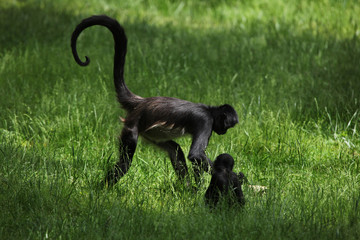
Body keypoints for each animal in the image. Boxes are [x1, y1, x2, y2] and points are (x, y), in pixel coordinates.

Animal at [71, 15, 239, 186]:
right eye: (227, 126)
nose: (224, 132)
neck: (210, 110)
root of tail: (141, 102)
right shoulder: (205, 121)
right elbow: (196, 155)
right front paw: (234, 178)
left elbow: (195, 159)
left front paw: (197, 189)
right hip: (132, 127)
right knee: (125, 163)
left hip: (150, 133)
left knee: (176, 151)